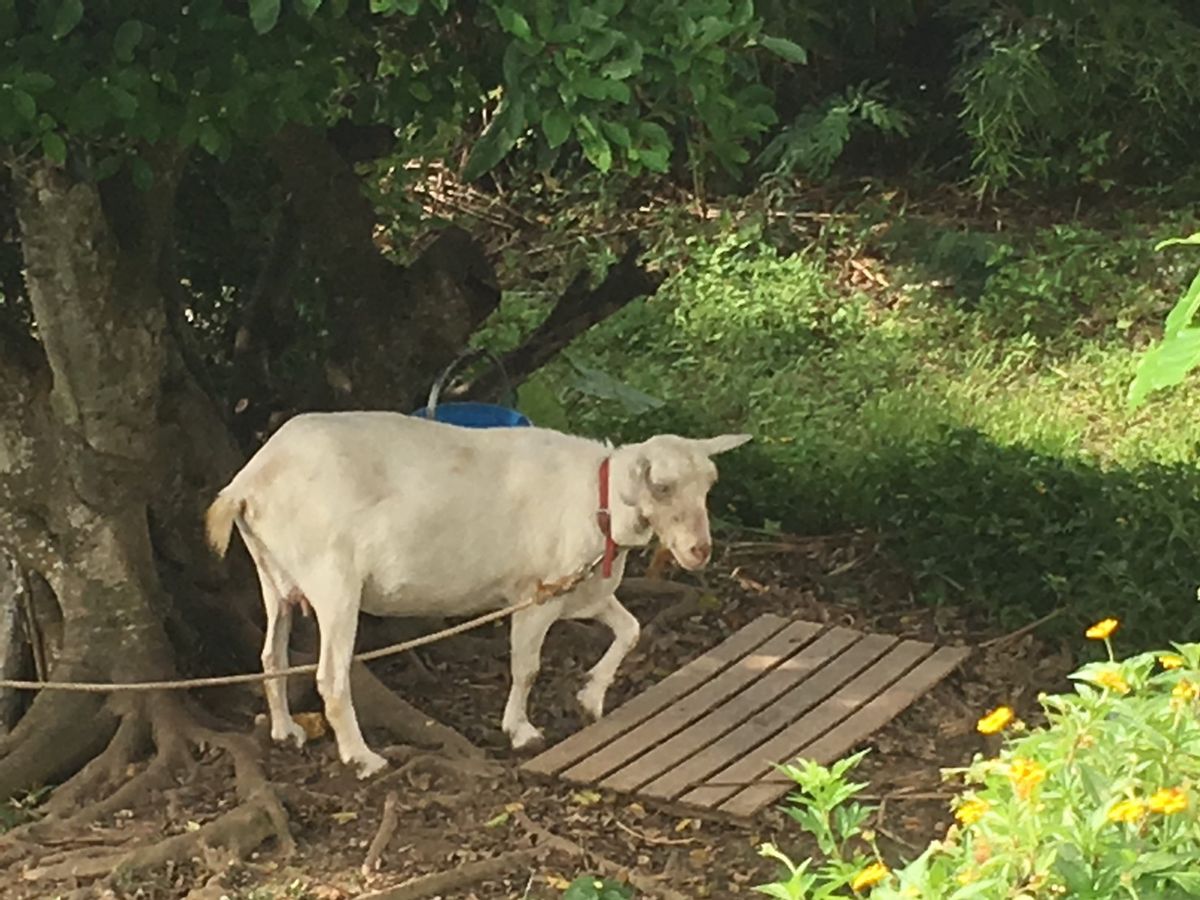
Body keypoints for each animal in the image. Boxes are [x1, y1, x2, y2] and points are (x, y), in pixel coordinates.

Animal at [206, 412, 748, 777]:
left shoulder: (580, 591)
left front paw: (590, 696)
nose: (699, 551)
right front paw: (521, 731)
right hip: (333, 580)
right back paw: (362, 757)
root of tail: (247, 484)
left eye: (710, 483)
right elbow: (527, 668)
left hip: (274, 573)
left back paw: (285, 730)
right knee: (330, 676)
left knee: (271, 654)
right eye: (662, 485)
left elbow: (631, 630)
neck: (597, 500)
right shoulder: (536, 594)